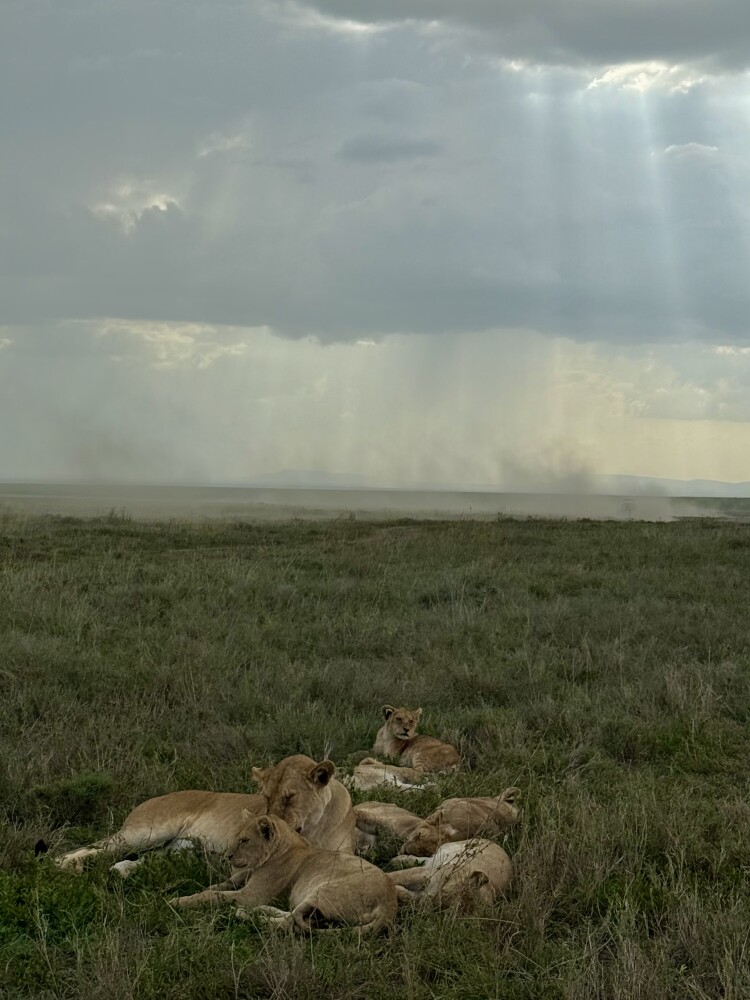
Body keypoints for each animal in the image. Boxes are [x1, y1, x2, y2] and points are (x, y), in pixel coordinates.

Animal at [53, 755, 355, 875]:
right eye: (266, 797)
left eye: (290, 797)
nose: (271, 822)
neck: (315, 827)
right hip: (143, 833)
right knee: (89, 847)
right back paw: (65, 865)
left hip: (175, 848)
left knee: (146, 859)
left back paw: (122, 870)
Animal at [172, 814, 398, 935]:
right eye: (237, 837)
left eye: (244, 840)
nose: (227, 856)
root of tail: (389, 905)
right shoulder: (247, 876)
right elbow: (227, 882)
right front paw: (211, 885)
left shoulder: (251, 895)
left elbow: (214, 896)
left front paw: (178, 901)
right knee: (295, 917)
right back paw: (262, 910)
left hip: (323, 890)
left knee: (291, 923)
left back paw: (246, 914)